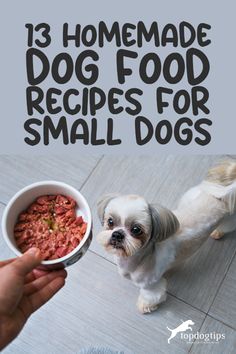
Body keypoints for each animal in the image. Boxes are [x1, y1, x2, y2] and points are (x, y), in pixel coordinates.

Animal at [96, 160, 236, 312]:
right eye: (110, 221)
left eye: (136, 229)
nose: (117, 234)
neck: (140, 258)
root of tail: (224, 193)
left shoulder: (152, 286)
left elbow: (150, 297)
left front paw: (144, 307)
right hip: (193, 195)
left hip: (231, 218)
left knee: (228, 226)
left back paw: (218, 232)